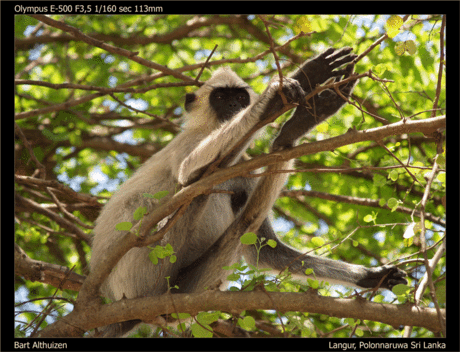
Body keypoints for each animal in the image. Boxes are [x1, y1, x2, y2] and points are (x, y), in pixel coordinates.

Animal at [91, 48, 408, 336]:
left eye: (240, 98)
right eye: (221, 97)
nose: (234, 105)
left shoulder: (244, 171)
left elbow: (265, 250)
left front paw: (372, 276)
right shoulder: (190, 141)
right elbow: (189, 173)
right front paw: (274, 99)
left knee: (243, 218)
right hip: (148, 267)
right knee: (199, 192)